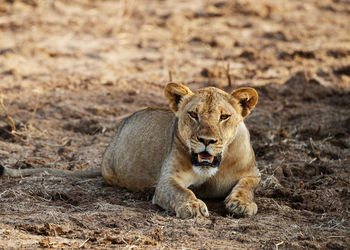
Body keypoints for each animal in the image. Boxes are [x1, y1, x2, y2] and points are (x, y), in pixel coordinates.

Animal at [0, 82, 260, 219]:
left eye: (224, 117)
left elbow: (246, 186)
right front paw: (193, 206)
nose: (206, 140)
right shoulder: (167, 181)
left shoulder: (253, 172)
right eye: (193, 114)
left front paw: (241, 204)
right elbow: (182, 192)